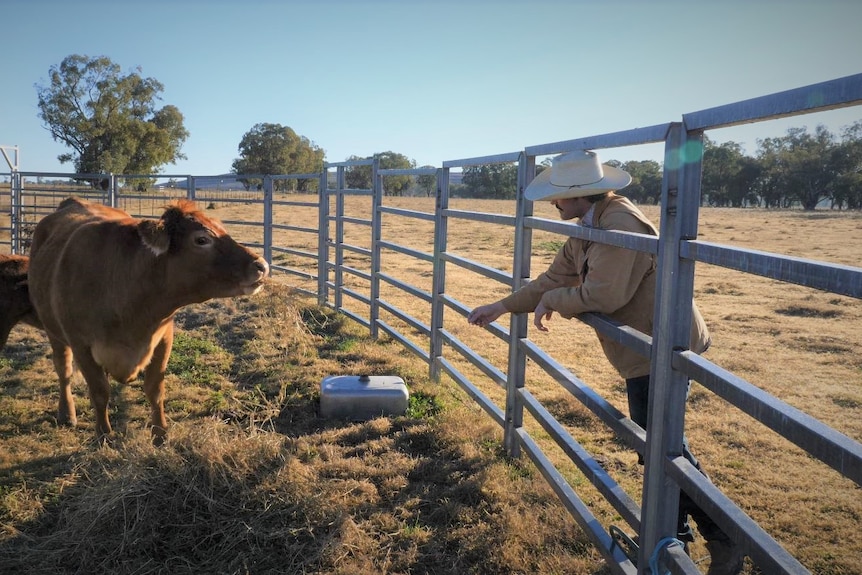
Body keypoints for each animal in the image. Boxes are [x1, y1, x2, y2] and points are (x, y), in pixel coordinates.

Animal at [27, 196, 270, 444]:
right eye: (202, 239)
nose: (261, 265)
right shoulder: (81, 346)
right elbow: (99, 391)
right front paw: (103, 434)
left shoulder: (163, 338)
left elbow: (155, 389)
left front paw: (160, 433)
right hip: (54, 333)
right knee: (63, 370)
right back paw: (67, 413)